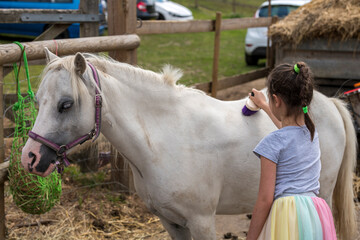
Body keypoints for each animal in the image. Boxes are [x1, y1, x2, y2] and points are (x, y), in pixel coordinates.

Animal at [21, 49, 356, 240]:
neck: (165, 139)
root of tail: (328, 103)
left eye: (66, 104)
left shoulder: (202, 221)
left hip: (321, 194)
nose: (30, 157)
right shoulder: (171, 221)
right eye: (38, 102)